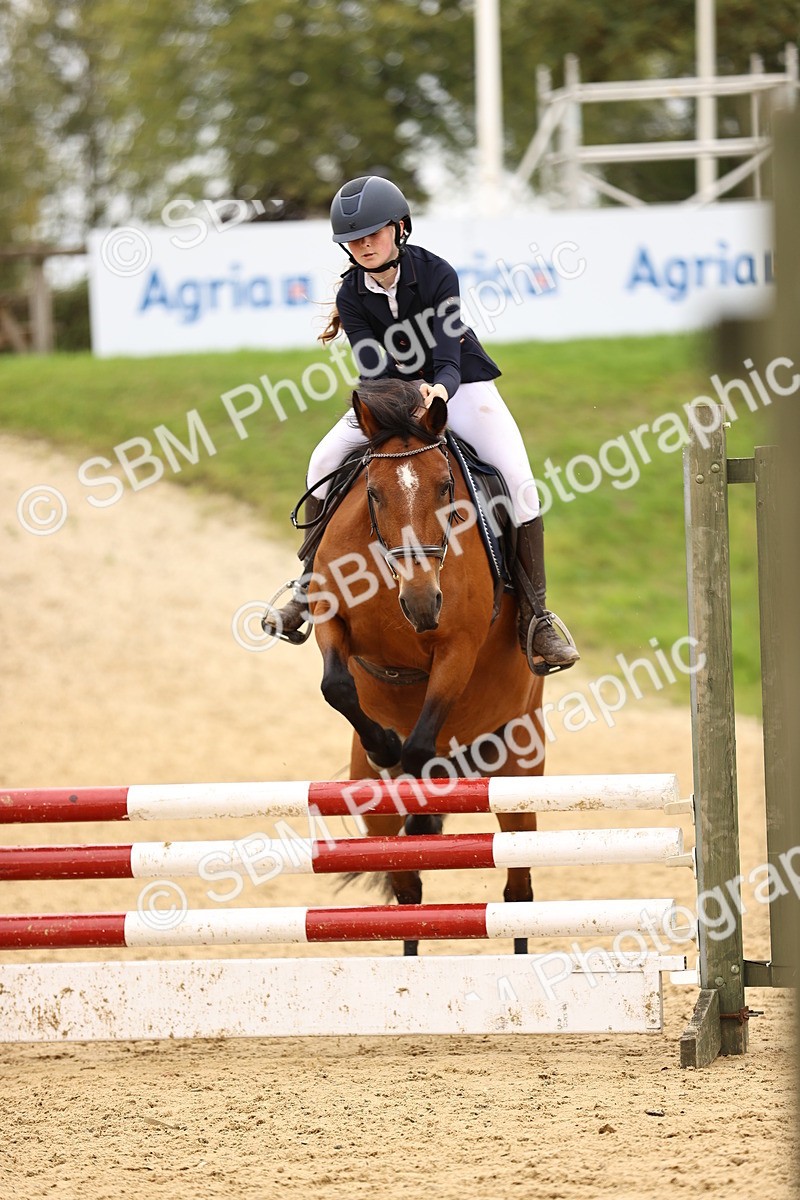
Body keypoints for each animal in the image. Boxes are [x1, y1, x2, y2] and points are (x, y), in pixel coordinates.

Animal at [308, 378, 546, 955]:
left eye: (445, 488)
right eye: (373, 493)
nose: (421, 603)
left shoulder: (456, 649)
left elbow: (418, 747)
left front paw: (412, 775)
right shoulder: (329, 616)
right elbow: (336, 686)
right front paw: (383, 745)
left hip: (519, 772)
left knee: (518, 890)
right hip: (373, 810)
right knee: (407, 890)